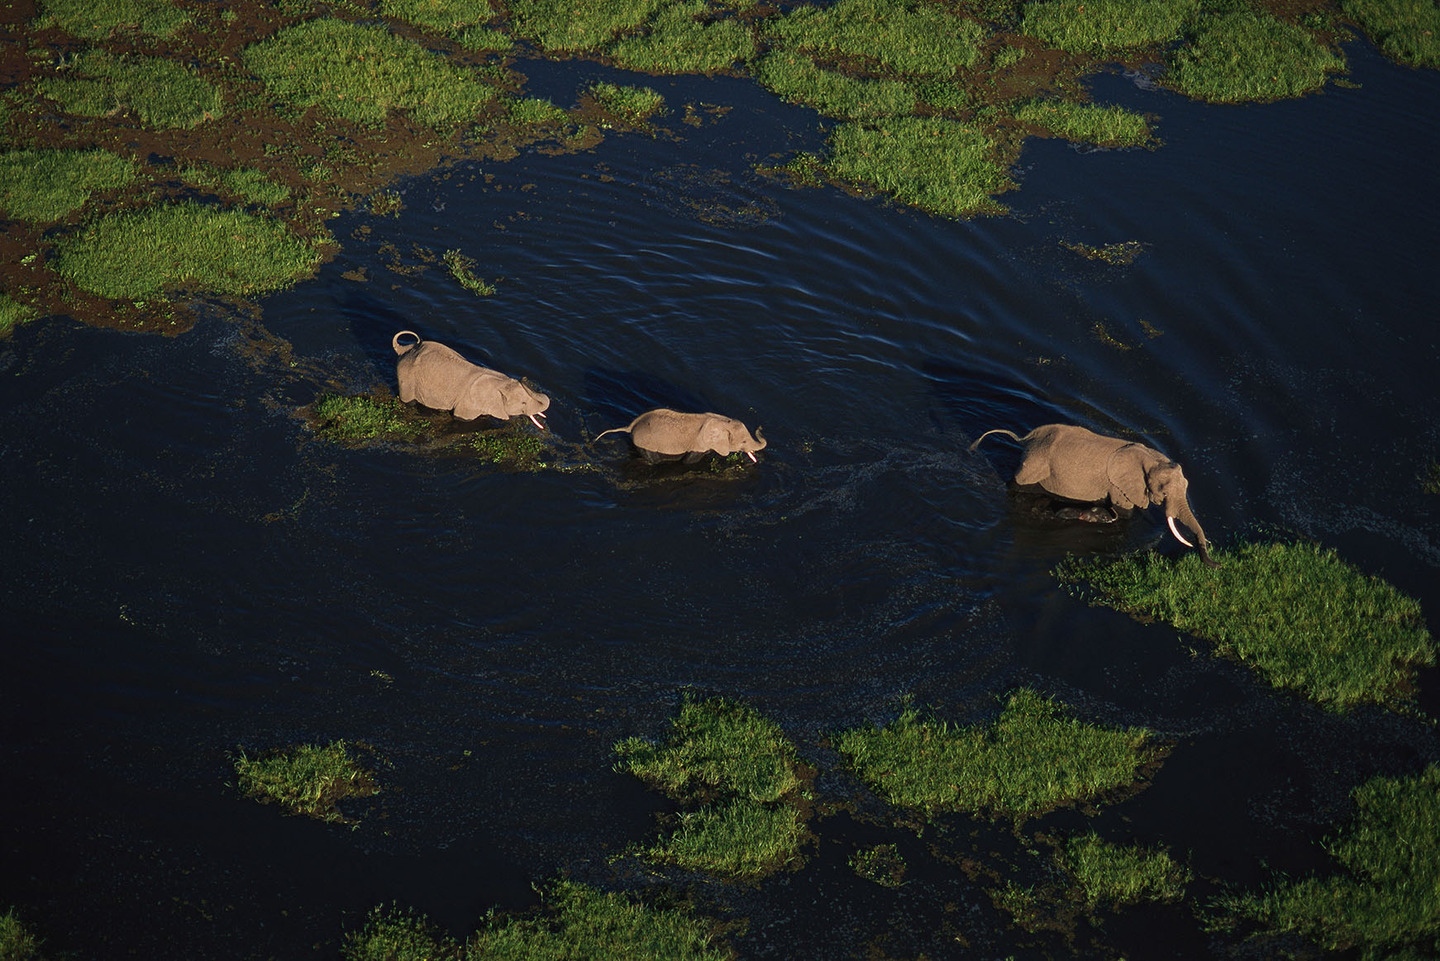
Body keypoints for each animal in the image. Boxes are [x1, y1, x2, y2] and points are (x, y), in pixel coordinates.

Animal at [391, 331, 547, 429]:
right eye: (523, 403)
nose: (524, 377)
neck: (501, 382)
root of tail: (406, 348)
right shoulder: (468, 404)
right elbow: (463, 420)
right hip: (406, 376)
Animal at [590, 406, 766, 466]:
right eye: (744, 441)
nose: (760, 426)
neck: (722, 422)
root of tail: (632, 425)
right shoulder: (698, 445)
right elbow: (688, 463)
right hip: (645, 442)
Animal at [973, 423, 1221, 567]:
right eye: (1164, 491)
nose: (1216, 564)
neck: (1152, 457)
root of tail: (1028, 437)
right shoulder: (1119, 486)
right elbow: (1124, 515)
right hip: (1035, 465)